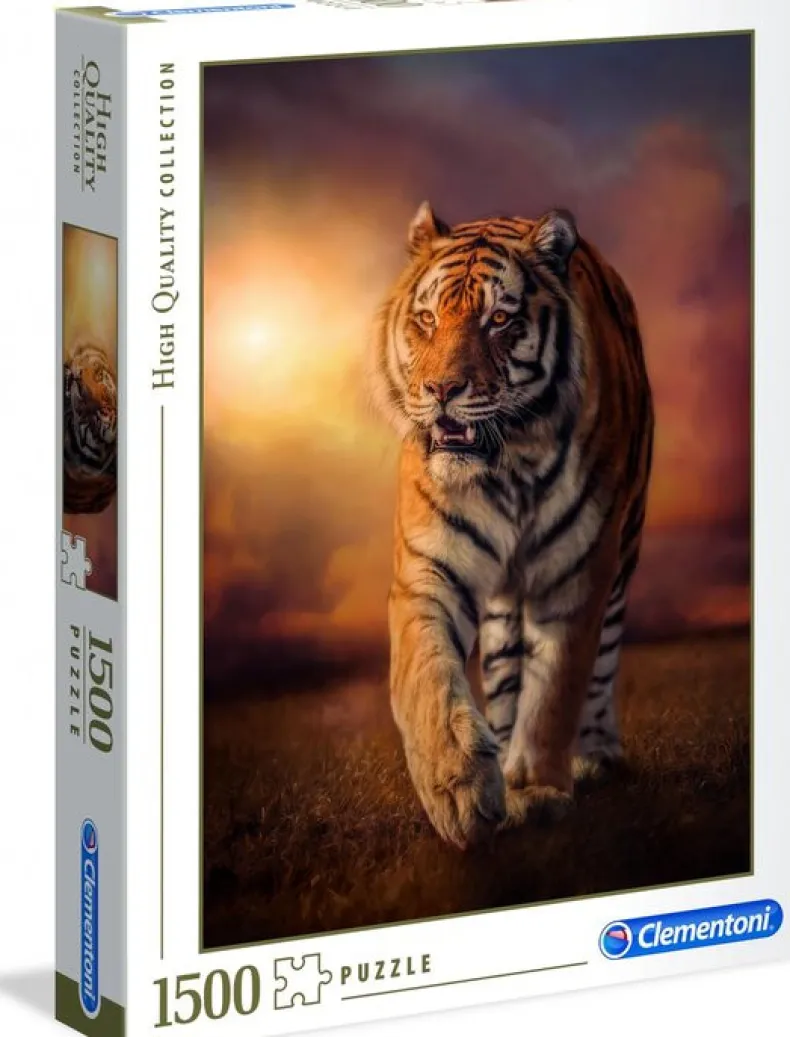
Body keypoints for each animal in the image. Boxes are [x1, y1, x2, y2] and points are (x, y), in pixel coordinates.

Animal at [369, 203, 654, 849]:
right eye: (427, 319)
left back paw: (594, 754)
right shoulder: (428, 569)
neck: (510, 465)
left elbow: (555, 691)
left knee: (601, 664)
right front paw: (460, 790)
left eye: (499, 319)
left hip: (623, 553)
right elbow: (427, 675)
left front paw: (538, 787)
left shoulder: (578, 573)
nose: (441, 391)